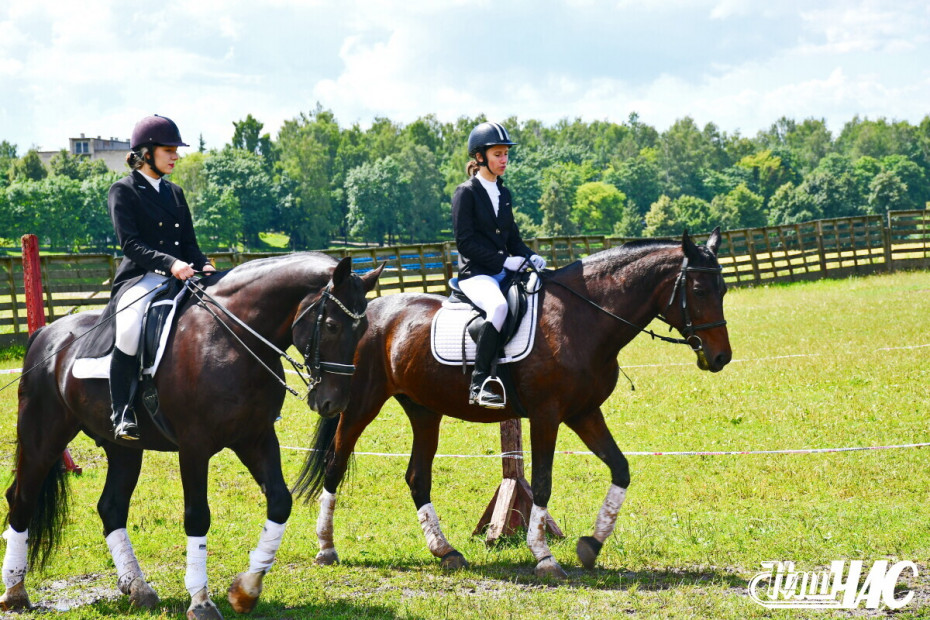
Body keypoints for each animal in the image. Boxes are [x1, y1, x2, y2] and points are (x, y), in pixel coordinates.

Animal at [0, 253, 380, 620]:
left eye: (363, 329)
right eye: (331, 326)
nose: (333, 402)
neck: (231, 337)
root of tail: (47, 334)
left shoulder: (255, 438)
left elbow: (280, 502)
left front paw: (246, 591)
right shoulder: (194, 446)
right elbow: (197, 516)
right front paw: (201, 602)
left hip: (124, 449)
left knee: (110, 507)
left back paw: (138, 589)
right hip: (43, 437)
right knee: (21, 499)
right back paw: (15, 593)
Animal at [294, 230, 728, 580]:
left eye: (723, 291)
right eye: (699, 291)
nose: (721, 357)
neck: (583, 319)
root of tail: (369, 312)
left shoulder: (584, 413)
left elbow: (620, 468)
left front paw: (592, 545)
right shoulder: (546, 416)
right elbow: (542, 483)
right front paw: (545, 558)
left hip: (424, 410)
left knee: (417, 476)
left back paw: (445, 551)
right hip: (358, 404)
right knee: (334, 466)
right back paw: (326, 548)